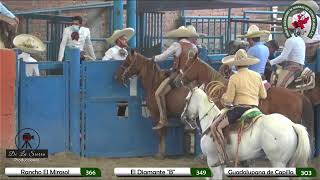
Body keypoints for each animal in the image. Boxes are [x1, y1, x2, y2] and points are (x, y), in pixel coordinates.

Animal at [181, 86, 312, 180]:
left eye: (186, 100)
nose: (183, 117)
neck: (210, 121)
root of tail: (292, 125)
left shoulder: (213, 161)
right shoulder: (222, 164)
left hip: (278, 164)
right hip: (290, 163)